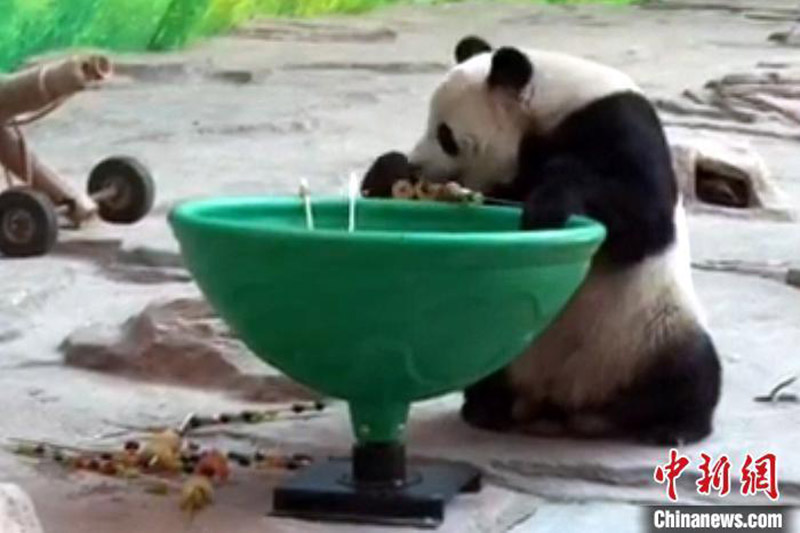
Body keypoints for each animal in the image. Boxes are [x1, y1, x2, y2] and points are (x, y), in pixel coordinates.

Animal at [393, 36, 722, 446]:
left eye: (445, 135)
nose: (415, 163)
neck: (553, 104)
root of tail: (563, 407)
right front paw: (389, 171)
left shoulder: (619, 123)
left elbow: (643, 216)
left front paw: (548, 206)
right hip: (502, 338)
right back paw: (487, 407)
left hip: (652, 332)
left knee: (691, 373)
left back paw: (672, 427)